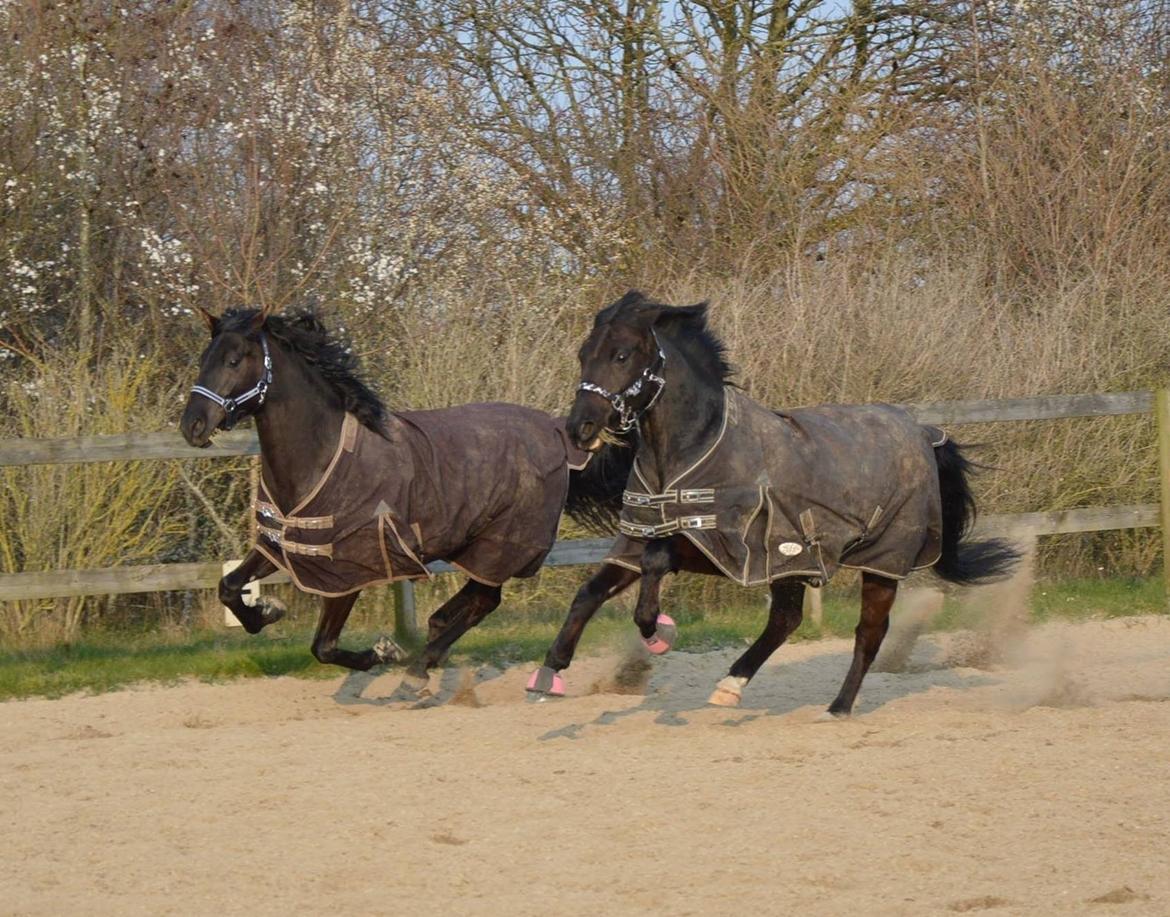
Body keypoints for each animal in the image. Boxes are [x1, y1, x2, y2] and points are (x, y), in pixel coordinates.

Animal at [177, 306, 631, 697]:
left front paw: (383, 652)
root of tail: (559, 433)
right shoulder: (286, 544)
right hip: (473, 542)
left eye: (235, 359)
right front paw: (268, 610)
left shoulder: (350, 567)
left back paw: (418, 668)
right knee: (475, 604)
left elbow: (323, 646)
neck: (323, 455)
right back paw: (431, 639)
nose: (192, 425)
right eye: (204, 358)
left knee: (484, 600)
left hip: (501, 543)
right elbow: (228, 588)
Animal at [526, 293, 1020, 715]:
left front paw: (659, 632)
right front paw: (548, 673)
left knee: (868, 632)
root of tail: (923, 433)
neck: (696, 451)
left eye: (622, 355)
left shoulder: (722, 547)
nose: (580, 428)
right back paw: (730, 687)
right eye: (583, 353)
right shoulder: (637, 539)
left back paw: (837, 708)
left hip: (882, 561)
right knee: (786, 619)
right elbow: (590, 593)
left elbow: (656, 563)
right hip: (794, 562)